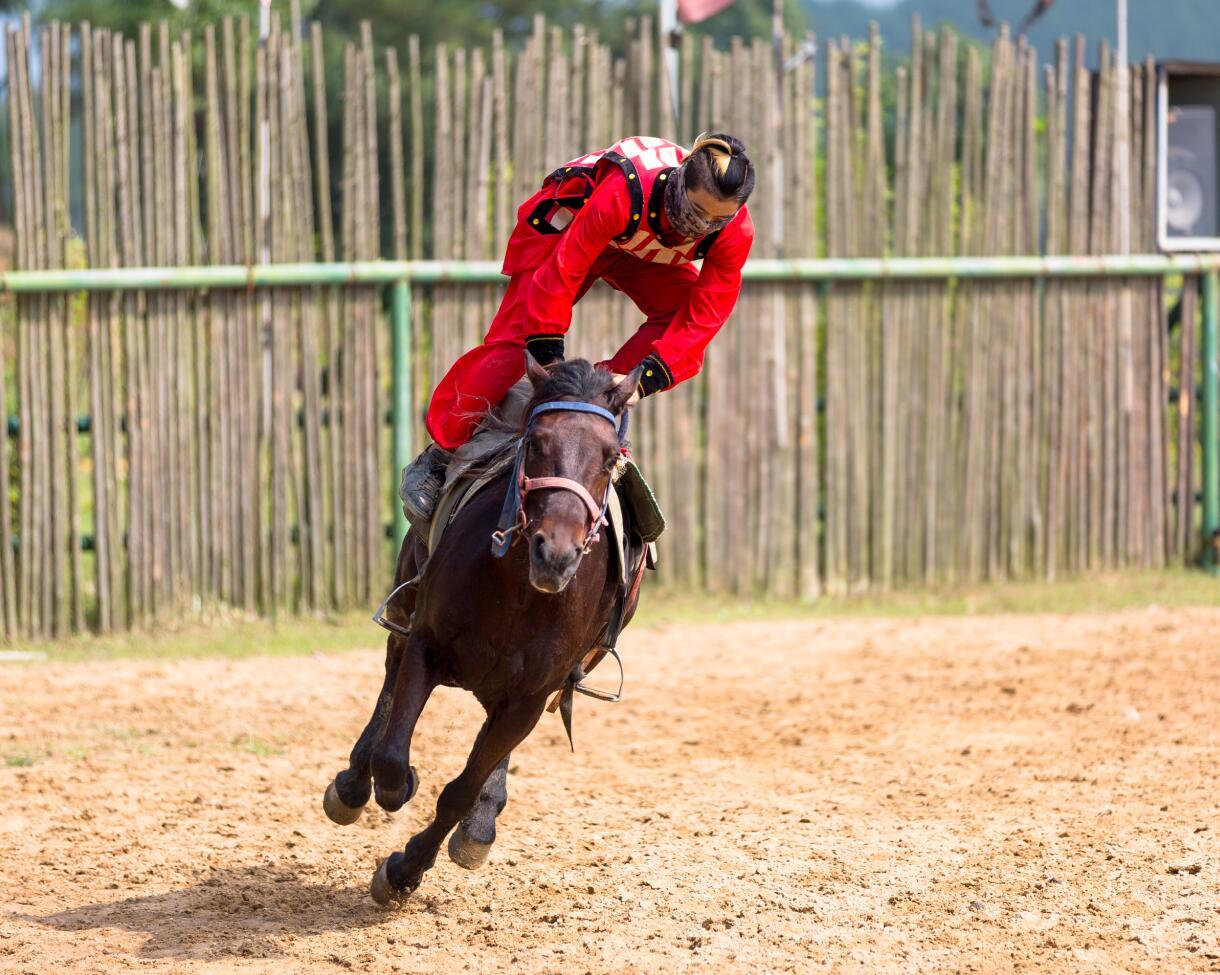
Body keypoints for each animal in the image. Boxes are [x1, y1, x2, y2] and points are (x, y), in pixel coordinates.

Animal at [324, 353, 649, 903]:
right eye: (536, 442)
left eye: (609, 458)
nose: (556, 553)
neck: (517, 591)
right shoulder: (426, 645)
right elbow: (392, 755)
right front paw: (395, 788)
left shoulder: (528, 698)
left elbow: (461, 791)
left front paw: (405, 870)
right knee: (389, 679)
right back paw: (352, 785)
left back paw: (479, 825)